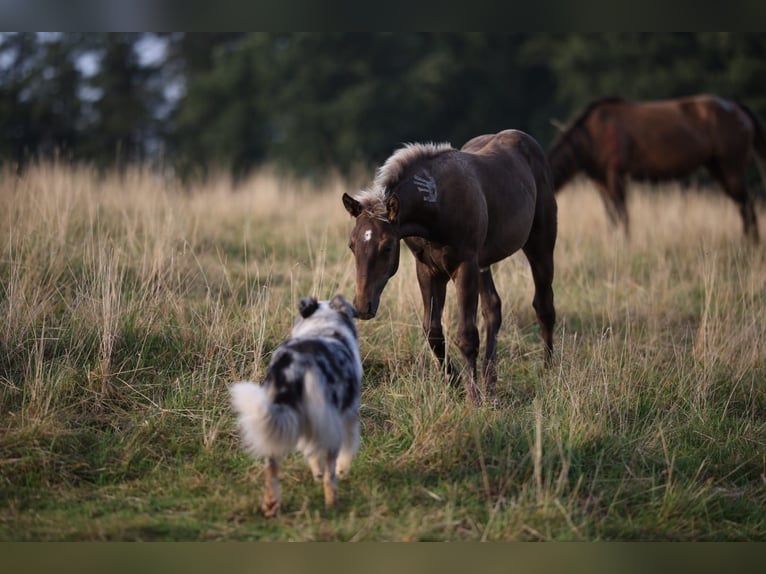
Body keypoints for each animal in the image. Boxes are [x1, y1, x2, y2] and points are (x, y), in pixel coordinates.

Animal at [231, 296, 364, 516]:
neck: (322, 325)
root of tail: (298, 365)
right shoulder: (347, 414)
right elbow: (348, 446)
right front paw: (342, 470)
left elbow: (309, 451)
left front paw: (316, 472)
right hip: (330, 423)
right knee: (329, 474)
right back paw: (333, 504)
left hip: (273, 415)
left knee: (272, 467)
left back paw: (271, 506)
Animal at [342, 130, 560, 404]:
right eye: (351, 245)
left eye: (388, 246)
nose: (362, 307)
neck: (437, 203)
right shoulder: (428, 270)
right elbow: (432, 330)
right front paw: (454, 381)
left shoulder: (465, 266)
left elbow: (466, 335)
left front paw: (473, 397)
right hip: (483, 263)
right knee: (493, 308)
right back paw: (490, 381)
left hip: (539, 243)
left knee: (543, 305)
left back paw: (547, 369)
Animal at [548, 93, 766, 242]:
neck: (591, 136)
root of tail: (736, 108)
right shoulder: (599, 179)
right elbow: (610, 214)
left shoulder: (615, 174)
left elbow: (622, 213)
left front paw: (624, 244)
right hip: (717, 168)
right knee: (742, 205)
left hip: (732, 167)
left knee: (747, 205)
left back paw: (750, 245)